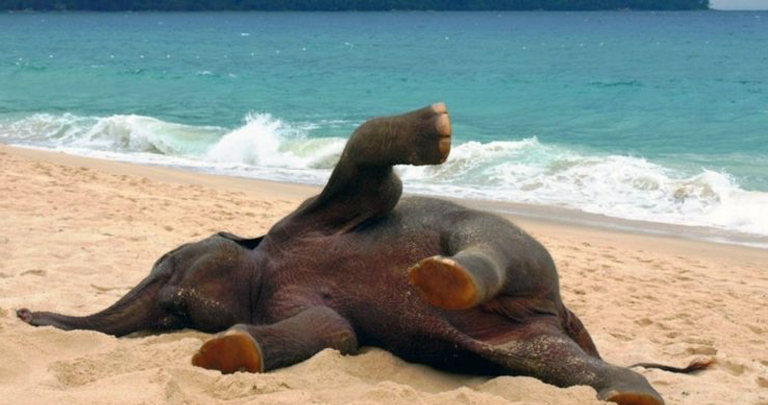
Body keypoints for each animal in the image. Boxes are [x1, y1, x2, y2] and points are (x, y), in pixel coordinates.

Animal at [17, 103, 708, 405]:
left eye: (167, 262)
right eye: (175, 318)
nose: (23, 315)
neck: (264, 260)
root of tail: (566, 313)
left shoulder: (308, 219)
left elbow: (379, 187)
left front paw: (437, 129)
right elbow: (337, 334)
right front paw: (226, 353)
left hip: (520, 257)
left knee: (480, 241)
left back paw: (441, 277)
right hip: (529, 336)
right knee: (561, 366)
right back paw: (631, 393)